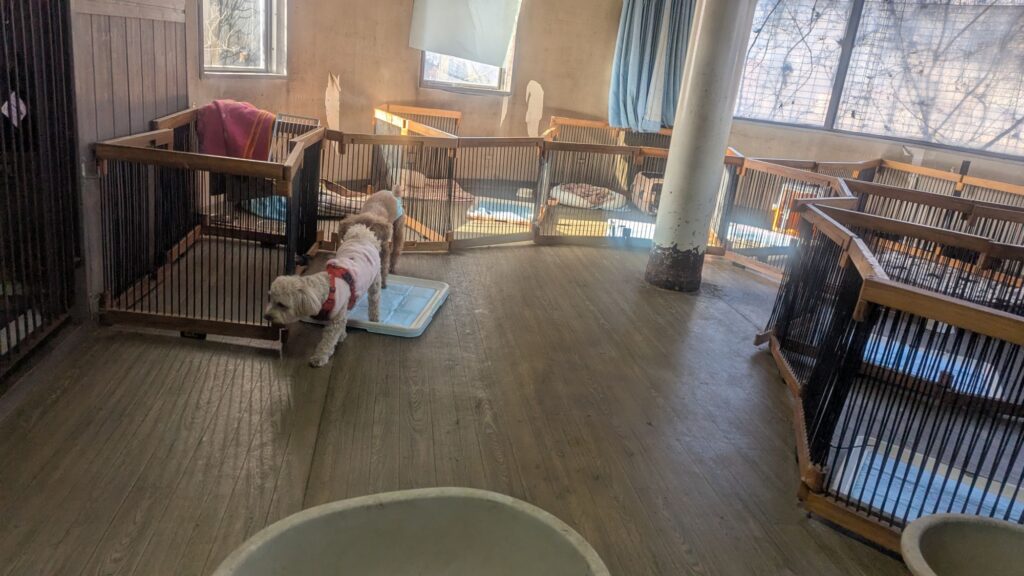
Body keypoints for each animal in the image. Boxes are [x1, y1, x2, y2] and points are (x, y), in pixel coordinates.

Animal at [264, 224, 382, 367]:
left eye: (281, 304)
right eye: (270, 299)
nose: (266, 316)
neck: (326, 290)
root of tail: (362, 235)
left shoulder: (336, 318)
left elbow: (327, 342)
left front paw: (319, 357)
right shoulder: (341, 313)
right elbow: (342, 324)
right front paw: (342, 335)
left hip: (375, 282)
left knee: (374, 300)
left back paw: (374, 318)